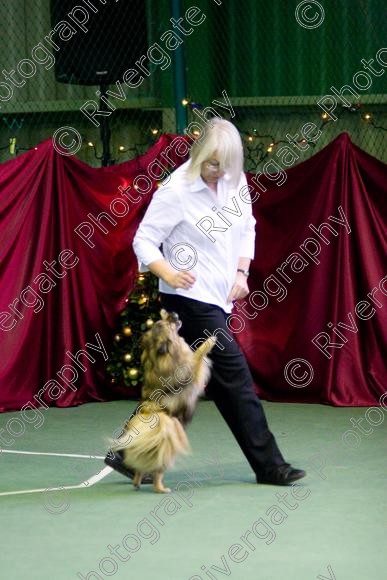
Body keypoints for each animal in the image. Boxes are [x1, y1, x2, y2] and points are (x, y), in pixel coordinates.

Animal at [110, 310, 217, 492]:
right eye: (168, 324)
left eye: (160, 321)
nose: (172, 313)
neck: (157, 356)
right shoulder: (190, 369)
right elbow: (197, 355)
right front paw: (210, 340)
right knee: (157, 473)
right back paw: (161, 489)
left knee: (140, 470)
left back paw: (137, 482)